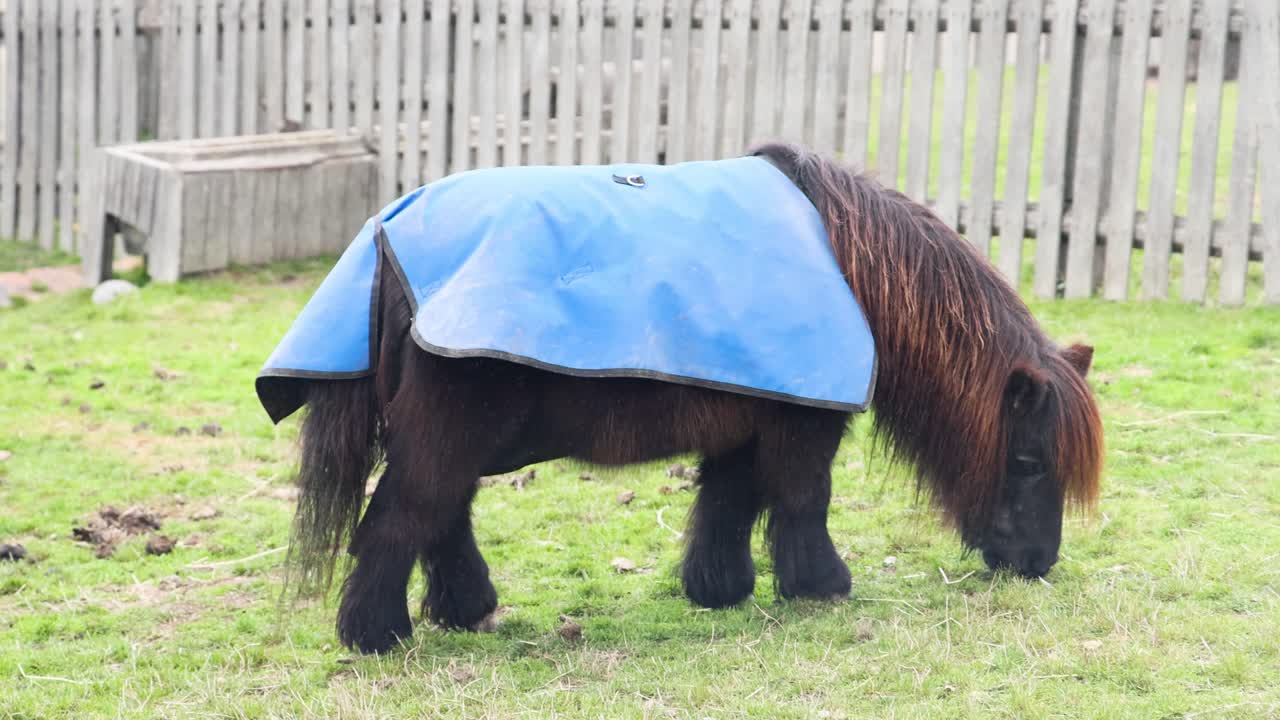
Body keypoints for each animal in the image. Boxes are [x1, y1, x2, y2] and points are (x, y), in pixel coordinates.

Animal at [261, 142, 1103, 655]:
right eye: (1029, 462)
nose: (1036, 564)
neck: (850, 264)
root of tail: (386, 238)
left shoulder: (747, 412)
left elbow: (729, 502)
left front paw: (718, 590)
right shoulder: (803, 424)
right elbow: (802, 500)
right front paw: (821, 586)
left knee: (441, 519)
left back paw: (465, 609)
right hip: (449, 433)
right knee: (405, 518)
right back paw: (376, 634)